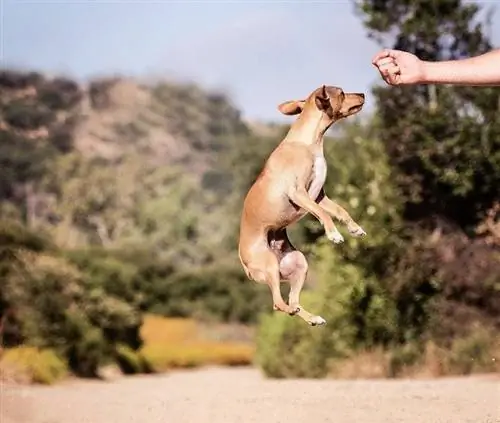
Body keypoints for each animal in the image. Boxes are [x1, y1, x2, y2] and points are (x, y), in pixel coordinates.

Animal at [236, 84, 366, 326]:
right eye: (342, 93)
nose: (362, 94)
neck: (308, 143)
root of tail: (243, 262)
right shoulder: (299, 193)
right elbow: (323, 215)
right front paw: (334, 234)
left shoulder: (319, 196)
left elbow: (340, 211)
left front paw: (355, 228)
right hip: (268, 264)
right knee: (279, 304)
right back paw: (293, 310)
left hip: (298, 264)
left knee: (293, 300)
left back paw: (312, 317)